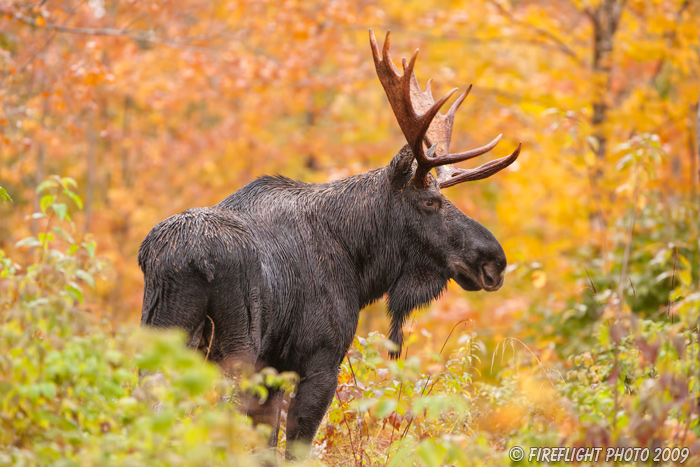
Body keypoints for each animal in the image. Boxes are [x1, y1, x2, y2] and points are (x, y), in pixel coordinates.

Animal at [138, 31, 520, 458]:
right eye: (430, 201)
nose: (495, 261)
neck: (359, 262)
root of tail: (192, 259)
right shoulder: (320, 357)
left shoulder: (274, 366)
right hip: (236, 345)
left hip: (164, 330)